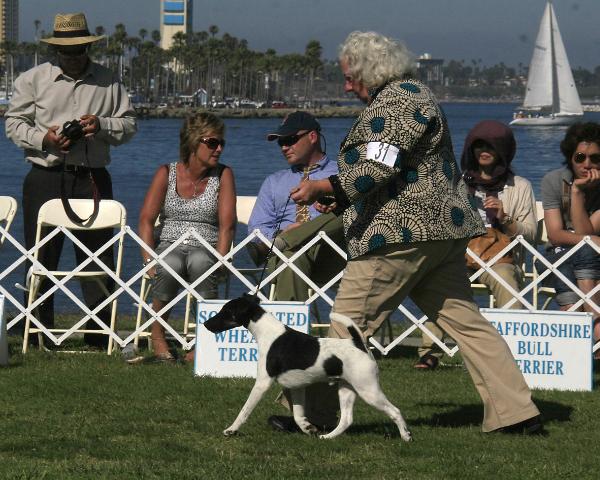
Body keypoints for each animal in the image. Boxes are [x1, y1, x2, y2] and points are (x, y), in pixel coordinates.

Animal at [203, 294, 412, 440]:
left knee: (395, 411)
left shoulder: (263, 382)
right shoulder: (296, 387)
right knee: (346, 419)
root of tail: (358, 344)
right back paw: (327, 437)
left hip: (368, 390)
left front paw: (231, 430)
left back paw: (406, 436)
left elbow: (244, 410)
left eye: (225, 312)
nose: (205, 324)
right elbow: (297, 414)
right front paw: (307, 428)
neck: (268, 333)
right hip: (346, 389)